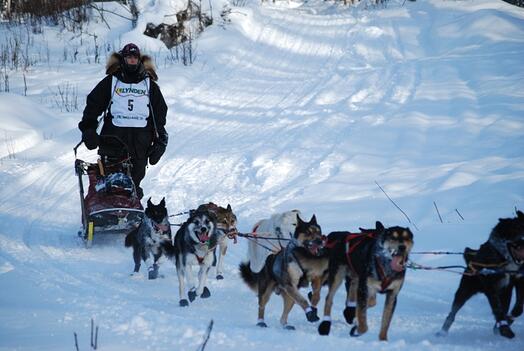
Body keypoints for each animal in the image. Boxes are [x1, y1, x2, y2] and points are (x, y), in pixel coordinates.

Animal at [438, 210, 524, 340]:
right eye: (514, 229)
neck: (503, 259)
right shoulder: (491, 288)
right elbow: (498, 310)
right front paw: (505, 329)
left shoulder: (511, 285)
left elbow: (511, 309)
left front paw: (504, 324)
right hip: (463, 292)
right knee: (452, 314)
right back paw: (442, 332)